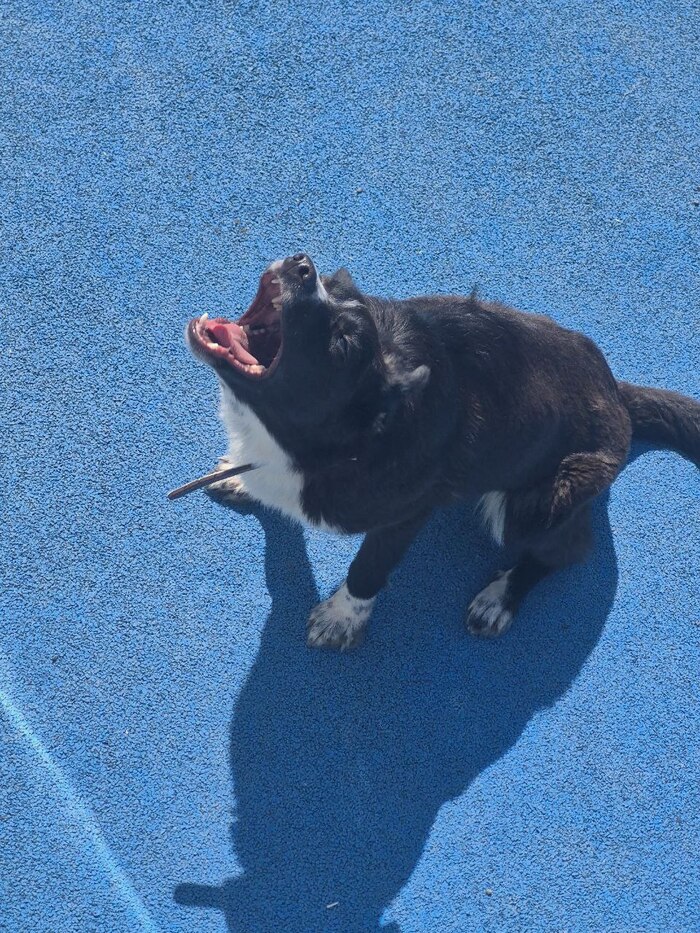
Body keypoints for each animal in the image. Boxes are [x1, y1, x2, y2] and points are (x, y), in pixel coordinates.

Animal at [186, 253, 699, 650]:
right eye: (330, 284)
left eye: (343, 342)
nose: (302, 265)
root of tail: (619, 396)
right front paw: (241, 478)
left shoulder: (407, 514)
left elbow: (369, 567)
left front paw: (341, 618)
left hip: (535, 503)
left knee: (566, 551)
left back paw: (499, 598)